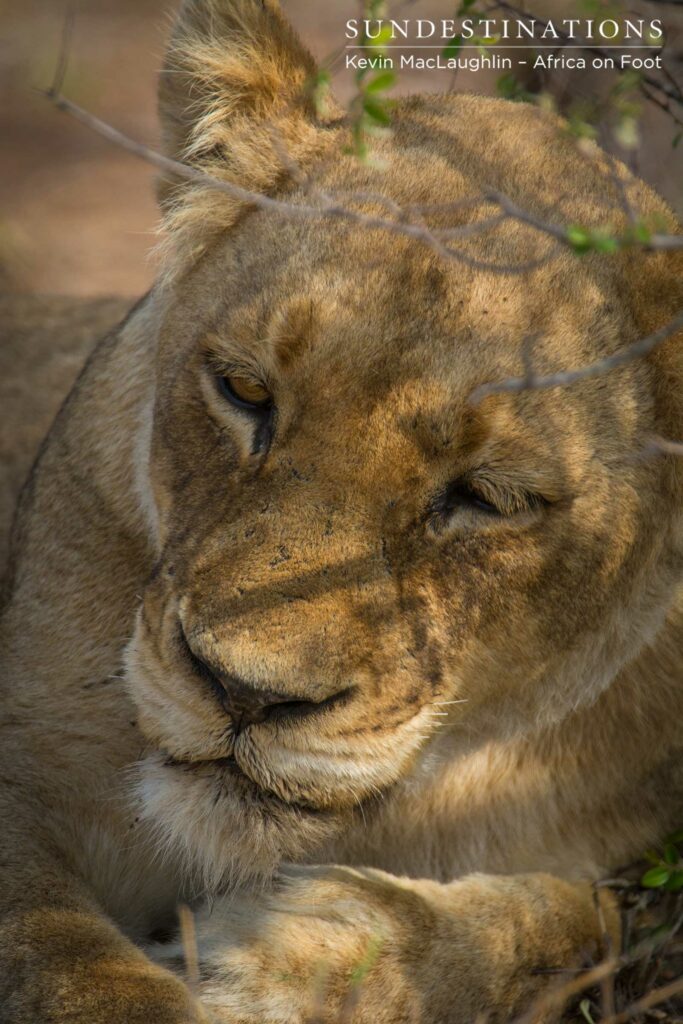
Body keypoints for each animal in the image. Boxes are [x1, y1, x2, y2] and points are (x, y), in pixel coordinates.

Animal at [1, 1, 682, 1021]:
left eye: (486, 496)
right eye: (243, 390)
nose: (243, 694)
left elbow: (572, 923)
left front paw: (281, 955)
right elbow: (58, 957)